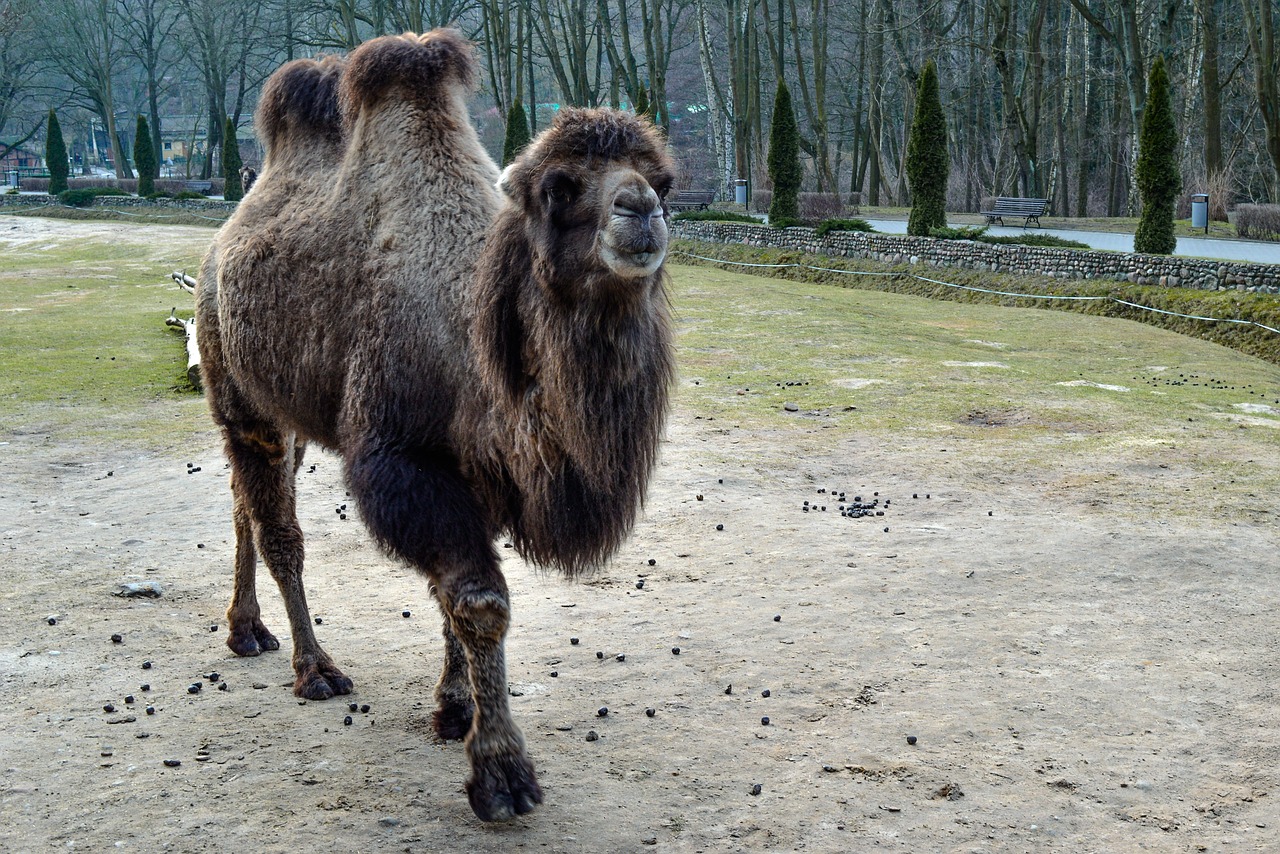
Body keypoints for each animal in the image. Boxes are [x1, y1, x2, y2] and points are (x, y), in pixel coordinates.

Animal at [194, 30, 675, 824]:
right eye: (559, 186)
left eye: (663, 180)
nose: (639, 209)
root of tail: (220, 241)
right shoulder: (405, 460)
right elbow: (478, 602)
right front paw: (502, 772)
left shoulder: (478, 469)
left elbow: (449, 598)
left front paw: (456, 709)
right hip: (234, 389)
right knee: (278, 529)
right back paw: (314, 668)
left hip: (285, 410)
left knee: (244, 505)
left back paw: (246, 631)